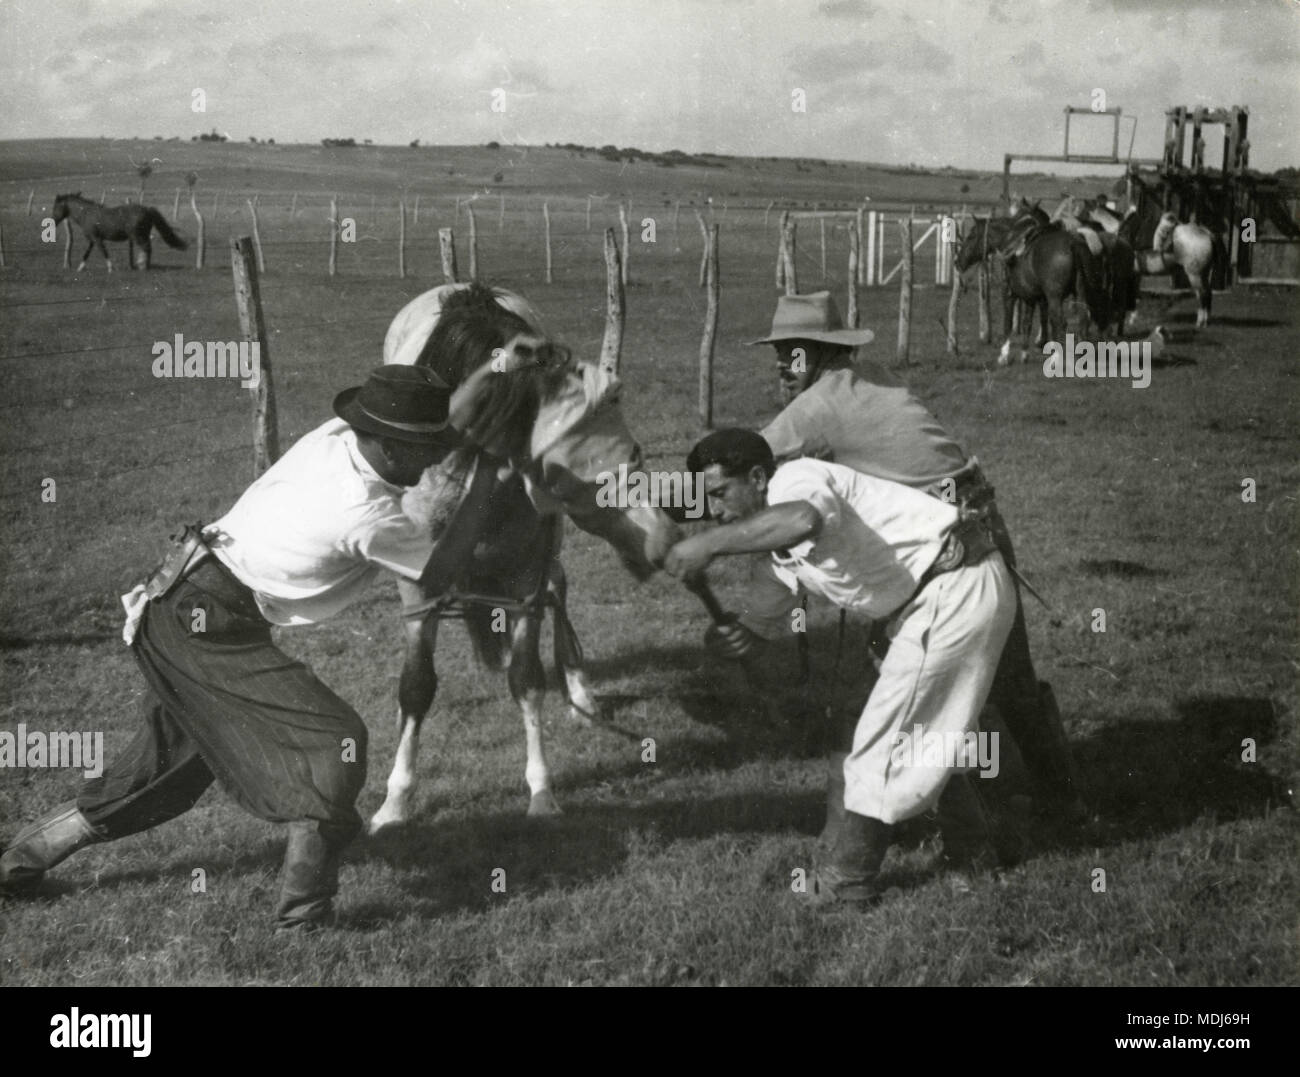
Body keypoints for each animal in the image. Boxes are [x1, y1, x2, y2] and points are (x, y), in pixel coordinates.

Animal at [50, 191, 187, 271]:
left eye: (56, 207)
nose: (53, 221)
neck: (86, 214)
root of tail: (147, 209)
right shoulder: (92, 240)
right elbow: (87, 253)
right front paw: (80, 268)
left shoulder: (97, 239)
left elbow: (104, 252)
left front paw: (110, 269)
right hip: (143, 235)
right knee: (147, 248)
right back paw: (142, 264)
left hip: (138, 236)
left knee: (147, 248)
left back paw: (143, 266)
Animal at [364, 282, 676, 827]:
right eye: (593, 452)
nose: (661, 536)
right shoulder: (417, 590)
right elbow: (416, 687)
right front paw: (395, 801)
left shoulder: (525, 582)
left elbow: (527, 680)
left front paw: (541, 790)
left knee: (559, 590)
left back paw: (578, 690)